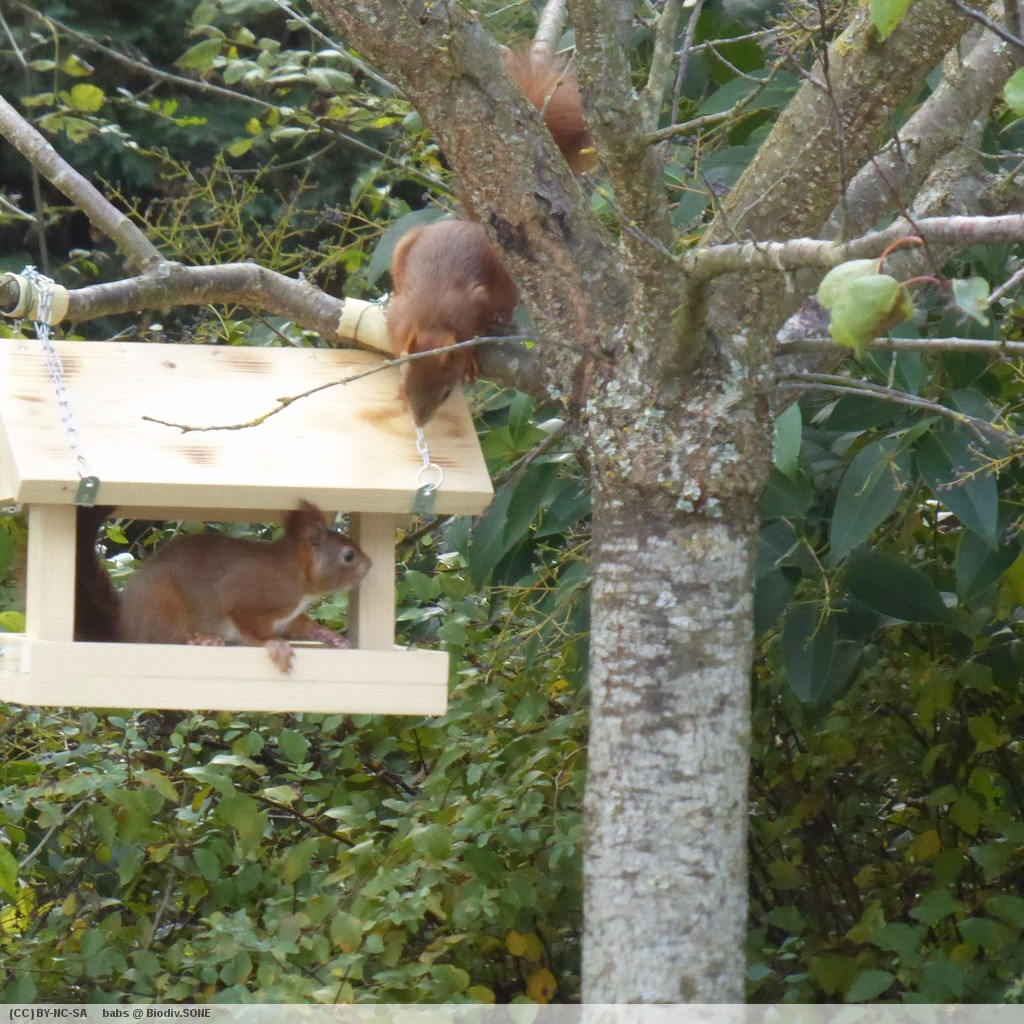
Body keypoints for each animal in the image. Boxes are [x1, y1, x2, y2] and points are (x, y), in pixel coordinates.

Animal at [75, 501, 371, 673]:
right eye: (348, 555)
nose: (370, 564)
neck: (297, 580)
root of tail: (125, 628)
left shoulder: (288, 617)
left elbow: (302, 626)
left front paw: (330, 636)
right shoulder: (249, 595)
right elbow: (249, 625)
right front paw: (275, 645)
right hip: (161, 604)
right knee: (167, 636)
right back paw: (200, 639)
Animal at [387, 50, 595, 427]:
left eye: (446, 392)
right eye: (405, 379)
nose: (420, 422)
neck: (431, 317)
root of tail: (475, 227)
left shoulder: (473, 305)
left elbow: (475, 333)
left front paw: (469, 359)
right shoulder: (398, 315)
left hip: (506, 278)